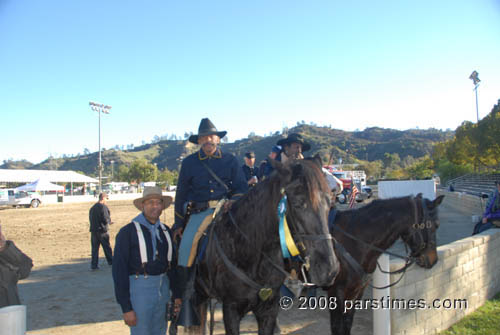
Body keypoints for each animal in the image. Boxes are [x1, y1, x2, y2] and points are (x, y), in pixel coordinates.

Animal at [186, 158, 342, 335]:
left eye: (329, 202)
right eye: (298, 203)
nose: (330, 269)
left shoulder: (269, 309)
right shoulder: (231, 310)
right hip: (198, 294)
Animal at [326, 194, 444, 335]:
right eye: (436, 224)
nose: (433, 260)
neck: (354, 240)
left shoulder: (356, 291)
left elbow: (347, 325)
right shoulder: (336, 292)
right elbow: (337, 327)